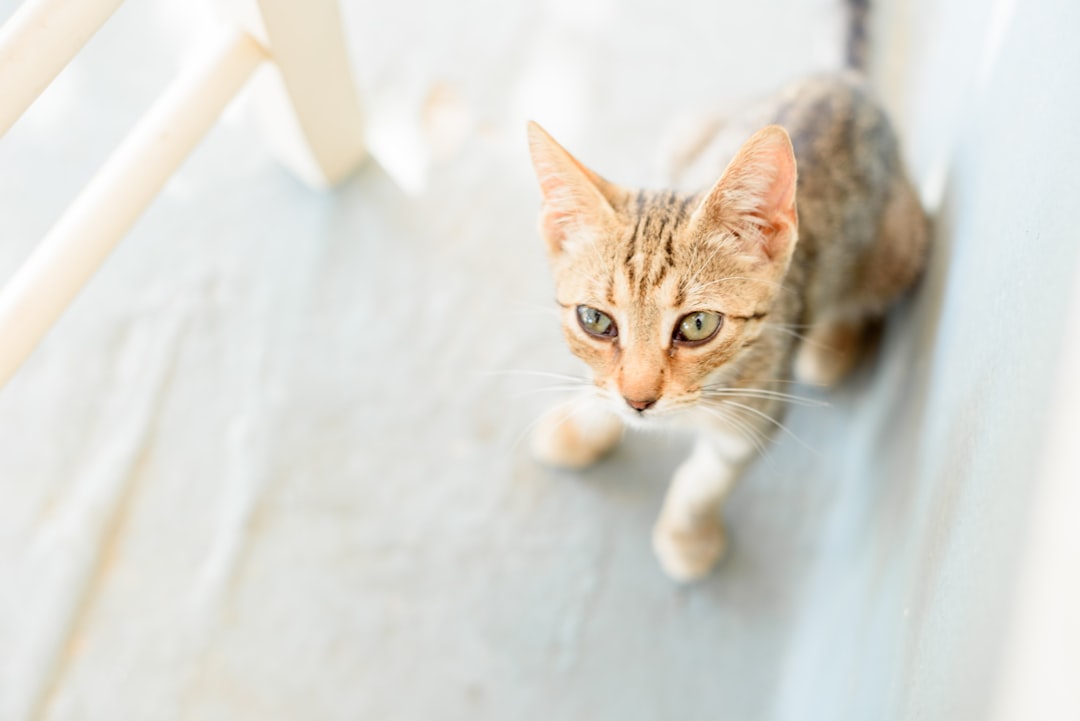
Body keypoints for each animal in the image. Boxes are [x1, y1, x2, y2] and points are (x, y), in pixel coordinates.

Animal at [524, 73, 928, 578]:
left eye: (698, 325)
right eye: (595, 320)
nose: (638, 400)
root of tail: (846, 81)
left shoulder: (757, 414)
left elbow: (705, 480)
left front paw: (687, 535)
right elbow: (600, 391)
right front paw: (583, 426)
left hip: (899, 248)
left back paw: (833, 343)